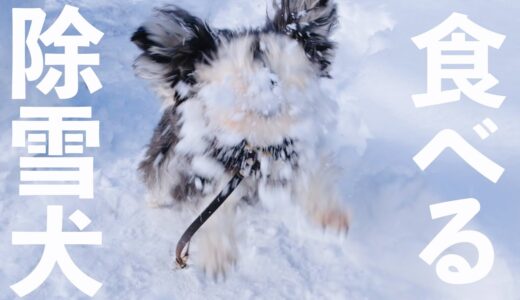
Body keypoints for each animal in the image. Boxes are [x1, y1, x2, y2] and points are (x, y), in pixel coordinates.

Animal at [131, 0, 350, 276]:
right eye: (239, 77)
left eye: (278, 65)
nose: (266, 84)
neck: (255, 143)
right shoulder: (207, 168)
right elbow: (210, 209)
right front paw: (218, 254)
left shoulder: (292, 153)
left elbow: (313, 177)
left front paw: (330, 213)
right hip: (170, 148)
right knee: (158, 171)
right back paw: (155, 199)